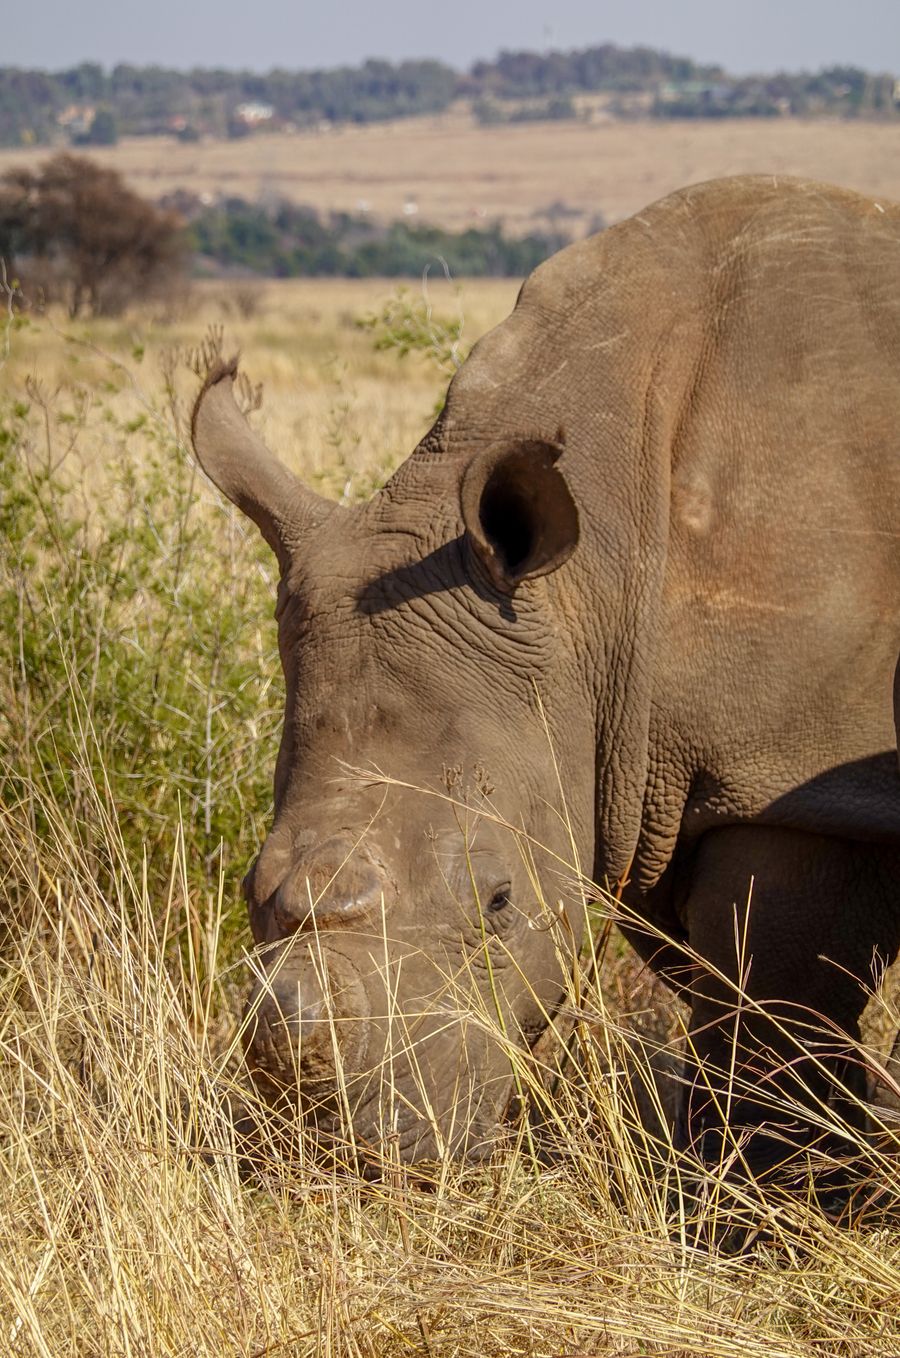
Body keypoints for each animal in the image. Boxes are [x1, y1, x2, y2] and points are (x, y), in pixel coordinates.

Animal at [192, 176, 900, 1179]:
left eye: (499, 902)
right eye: (251, 888)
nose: (352, 1162)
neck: (602, 575)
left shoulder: (786, 776)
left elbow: (775, 1020)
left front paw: (770, 1202)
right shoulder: (643, 768)